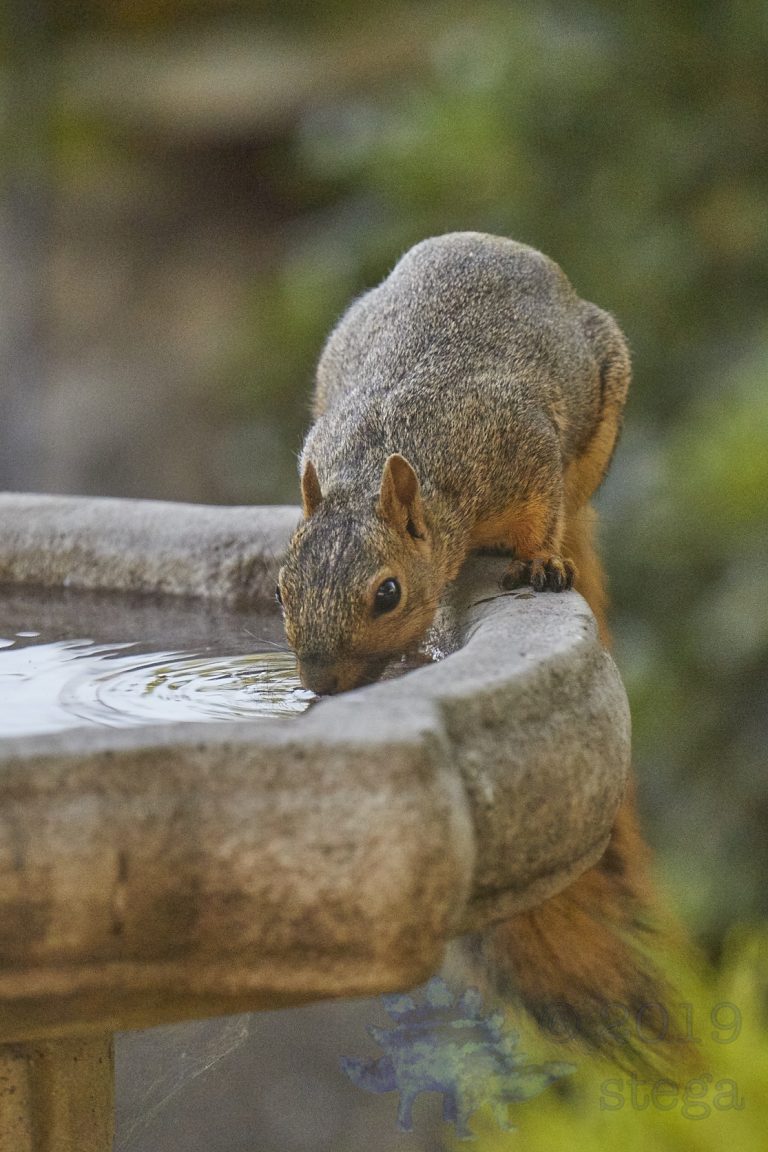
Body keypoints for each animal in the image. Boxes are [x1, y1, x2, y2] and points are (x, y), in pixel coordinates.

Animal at [278, 232, 681, 1067]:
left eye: (388, 594)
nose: (323, 683)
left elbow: (540, 511)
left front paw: (543, 562)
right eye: (281, 589)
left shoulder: (519, 451)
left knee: (572, 498)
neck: (383, 456)